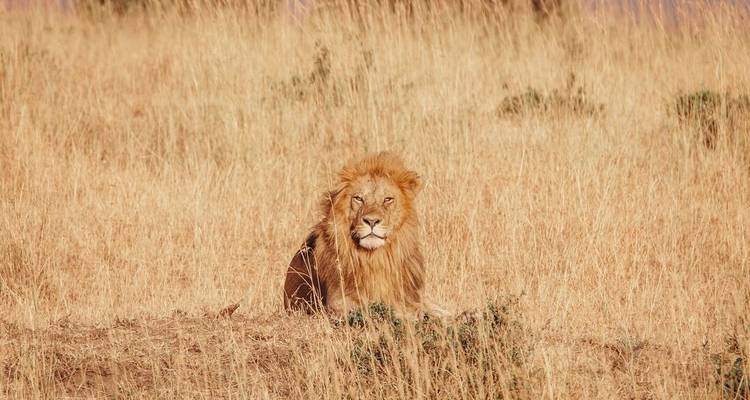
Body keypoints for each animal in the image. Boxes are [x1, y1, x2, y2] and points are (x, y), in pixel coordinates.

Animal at [283, 152, 445, 319]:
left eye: (388, 199)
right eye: (359, 198)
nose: (371, 221)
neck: (375, 259)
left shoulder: (410, 300)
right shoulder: (338, 303)